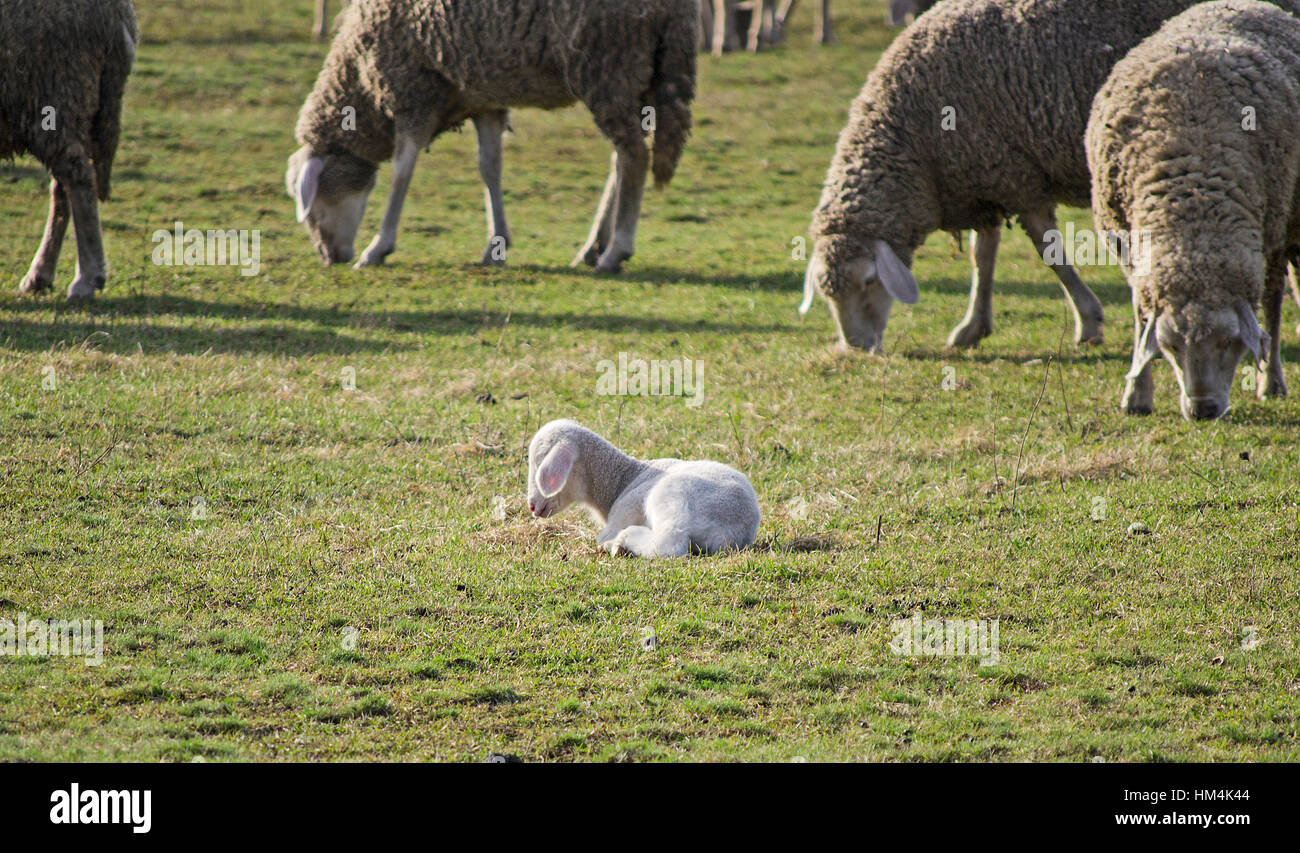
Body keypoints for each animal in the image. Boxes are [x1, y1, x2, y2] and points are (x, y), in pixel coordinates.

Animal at [4, 0, 138, 301]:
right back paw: (40, 277)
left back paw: (87, 278)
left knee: (79, 179)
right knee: (63, 186)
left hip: (57, 94)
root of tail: (119, 13)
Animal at [286, 0, 696, 273]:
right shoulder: (483, 98)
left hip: (609, 64)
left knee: (634, 156)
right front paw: (495, 245)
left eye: (312, 200)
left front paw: (378, 248)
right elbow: (490, 167)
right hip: (639, 73)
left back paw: (615, 252)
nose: (329, 257)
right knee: (622, 158)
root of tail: (678, 11)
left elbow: (403, 171)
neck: (359, 84)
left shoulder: (413, 88)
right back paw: (593, 248)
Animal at [522, 418, 759, 559]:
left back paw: (623, 542)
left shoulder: (625, 511)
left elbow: (602, 537)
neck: (621, 480)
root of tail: (737, 527)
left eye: (540, 461)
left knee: (670, 544)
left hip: (671, 495)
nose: (532, 506)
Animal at [795, 0, 1300, 353]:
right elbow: (983, 256)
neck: (917, 140)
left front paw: (1089, 321)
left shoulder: (1016, 174)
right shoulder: (987, 174)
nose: (856, 347)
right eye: (827, 292)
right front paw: (973, 327)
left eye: (868, 281)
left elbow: (1047, 251)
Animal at [1086, 0, 1300, 418]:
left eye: (1231, 343)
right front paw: (1137, 394)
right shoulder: (1126, 245)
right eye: (1170, 346)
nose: (1203, 410)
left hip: (1289, 221)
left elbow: (1270, 310)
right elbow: (1140, 317)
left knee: (1275, 298)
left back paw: (1271, 381)